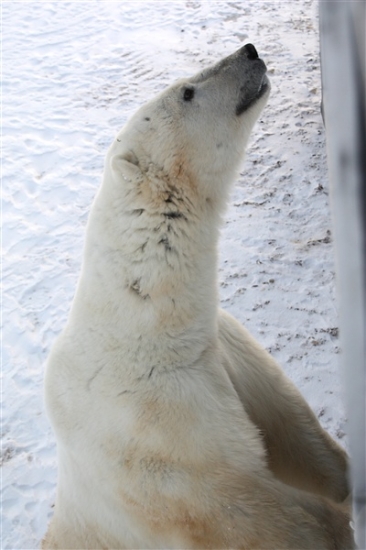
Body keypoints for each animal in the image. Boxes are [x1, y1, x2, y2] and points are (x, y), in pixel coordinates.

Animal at [43, 45, 354, 548]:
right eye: (187, 91)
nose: (249, 50)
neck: (147, 331)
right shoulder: (165, 444)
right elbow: (263, 519)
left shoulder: (225, 350)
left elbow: (294, 433)